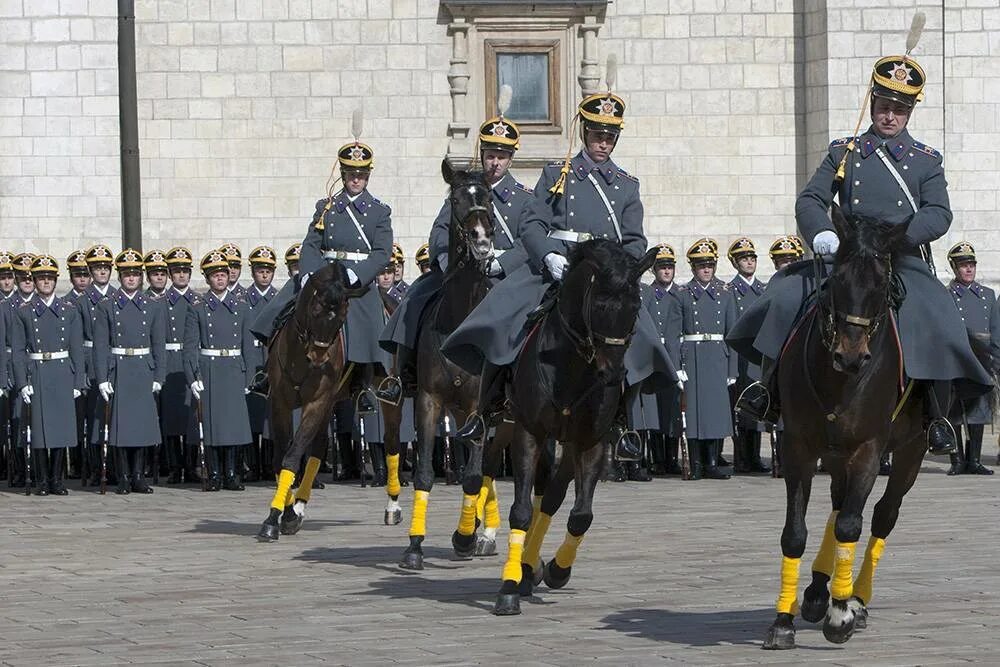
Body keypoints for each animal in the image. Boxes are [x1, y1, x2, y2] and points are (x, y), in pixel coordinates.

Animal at [256, 260, 370, 544]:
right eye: (315, 310)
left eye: (342, 316)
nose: (319, 357)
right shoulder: (279, 404)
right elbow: (281, 457)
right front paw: (282, 514)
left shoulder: (316, 403)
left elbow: (293, 455)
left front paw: (278, 518)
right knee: (318, 448)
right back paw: (299, 505)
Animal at [396, 159, 500, 572]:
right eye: (455, 200)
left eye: (488, 197)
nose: (482, 239)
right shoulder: (429, 401)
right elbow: (424, 473)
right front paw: (414, 546)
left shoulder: (477, 409)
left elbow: (473, 477)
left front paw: (465, 537)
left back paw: (483, 533)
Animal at [476, 241, 664, 616]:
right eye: (600, 305)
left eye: (635, 306)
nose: (614, 375)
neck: (572, 366)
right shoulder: (529, 432)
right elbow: (520, 511)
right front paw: (508, 587)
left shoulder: (592, 441)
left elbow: (580, 515)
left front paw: (557, 569)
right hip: (506, 423)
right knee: (488, 466)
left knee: (551, 495)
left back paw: (531, 566)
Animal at [764, 207, 992, 648]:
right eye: (835, 279)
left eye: (882, 283)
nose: (851, 356)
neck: (839, 381)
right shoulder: (798, 447)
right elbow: (795, 532)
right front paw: (784, 621)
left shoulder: (870, 448)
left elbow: (853, 525)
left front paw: (841, 614)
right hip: (836, 455)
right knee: (838, 506)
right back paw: (817, 593)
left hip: (908, 453)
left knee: (882, 515)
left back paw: (855, 599)